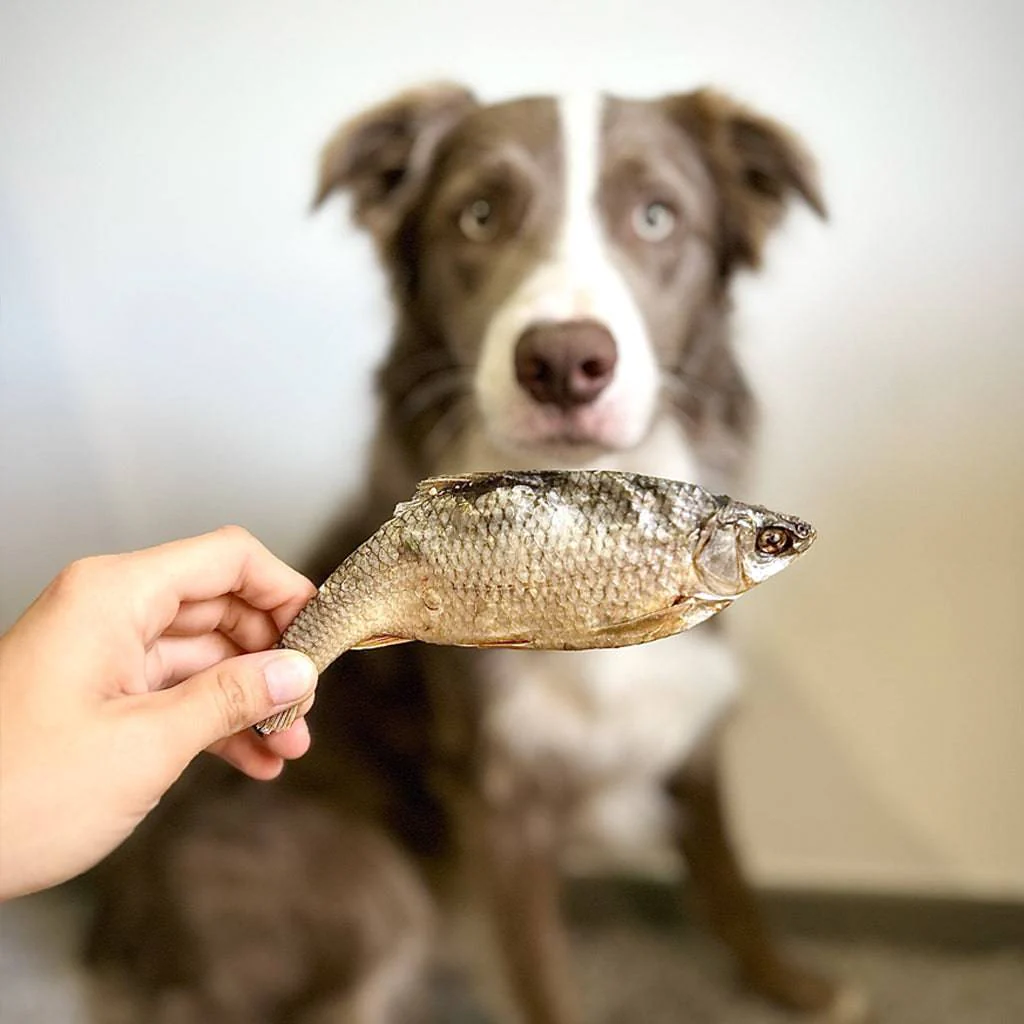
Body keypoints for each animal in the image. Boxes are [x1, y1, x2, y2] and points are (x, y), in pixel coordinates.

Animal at [86, 81, 864, 1024]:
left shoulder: (693, 732)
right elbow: (545, 977)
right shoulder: (503, 800)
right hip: (375, 891)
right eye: (478, 215)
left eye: (656, 216)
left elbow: (729, 880)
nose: (563, 360)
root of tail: (116, 925)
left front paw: (791, 984)